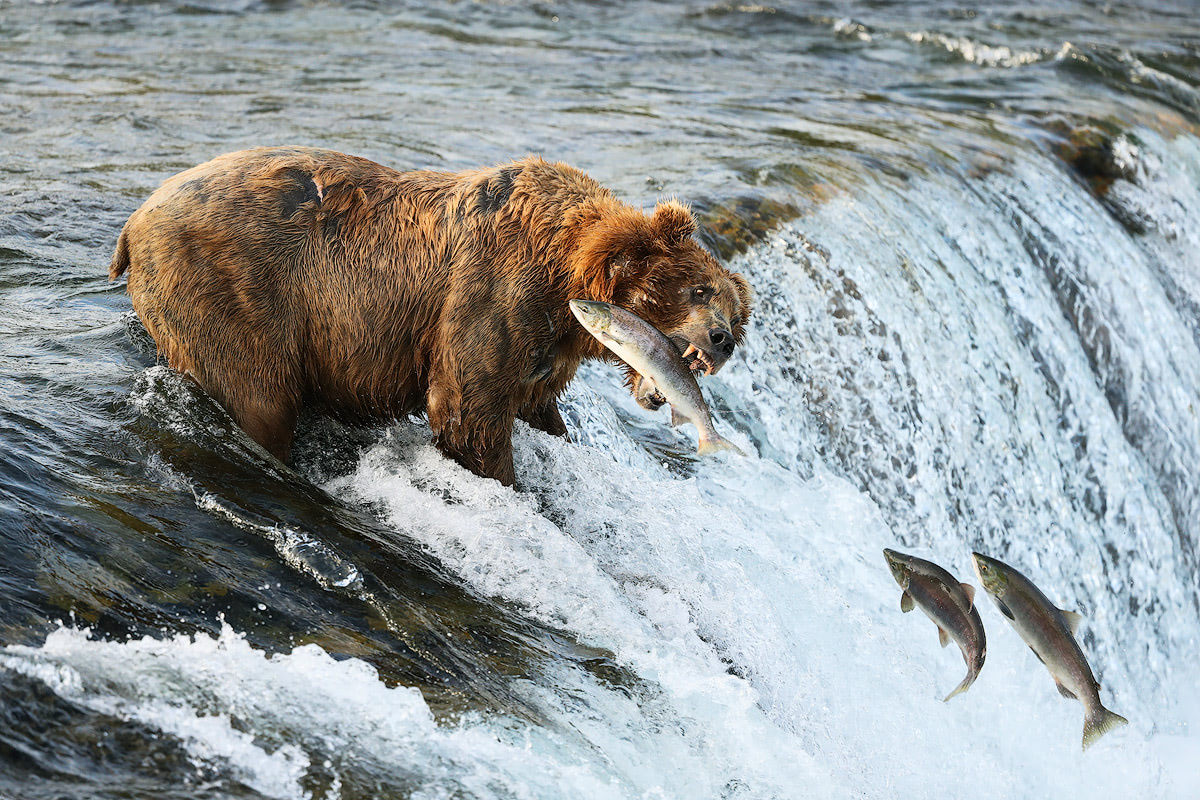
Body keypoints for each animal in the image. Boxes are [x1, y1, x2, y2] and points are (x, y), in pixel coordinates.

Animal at [112, 146, 748, 484]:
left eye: (737, 311)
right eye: (698, 290)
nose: (723, 341)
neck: (564, 271)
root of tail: (135, 220)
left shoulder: (545, 348)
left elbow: (537, 405)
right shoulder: (490, 296)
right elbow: (468, 410)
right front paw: (506, 482)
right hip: (234, 290)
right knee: (258, 394)